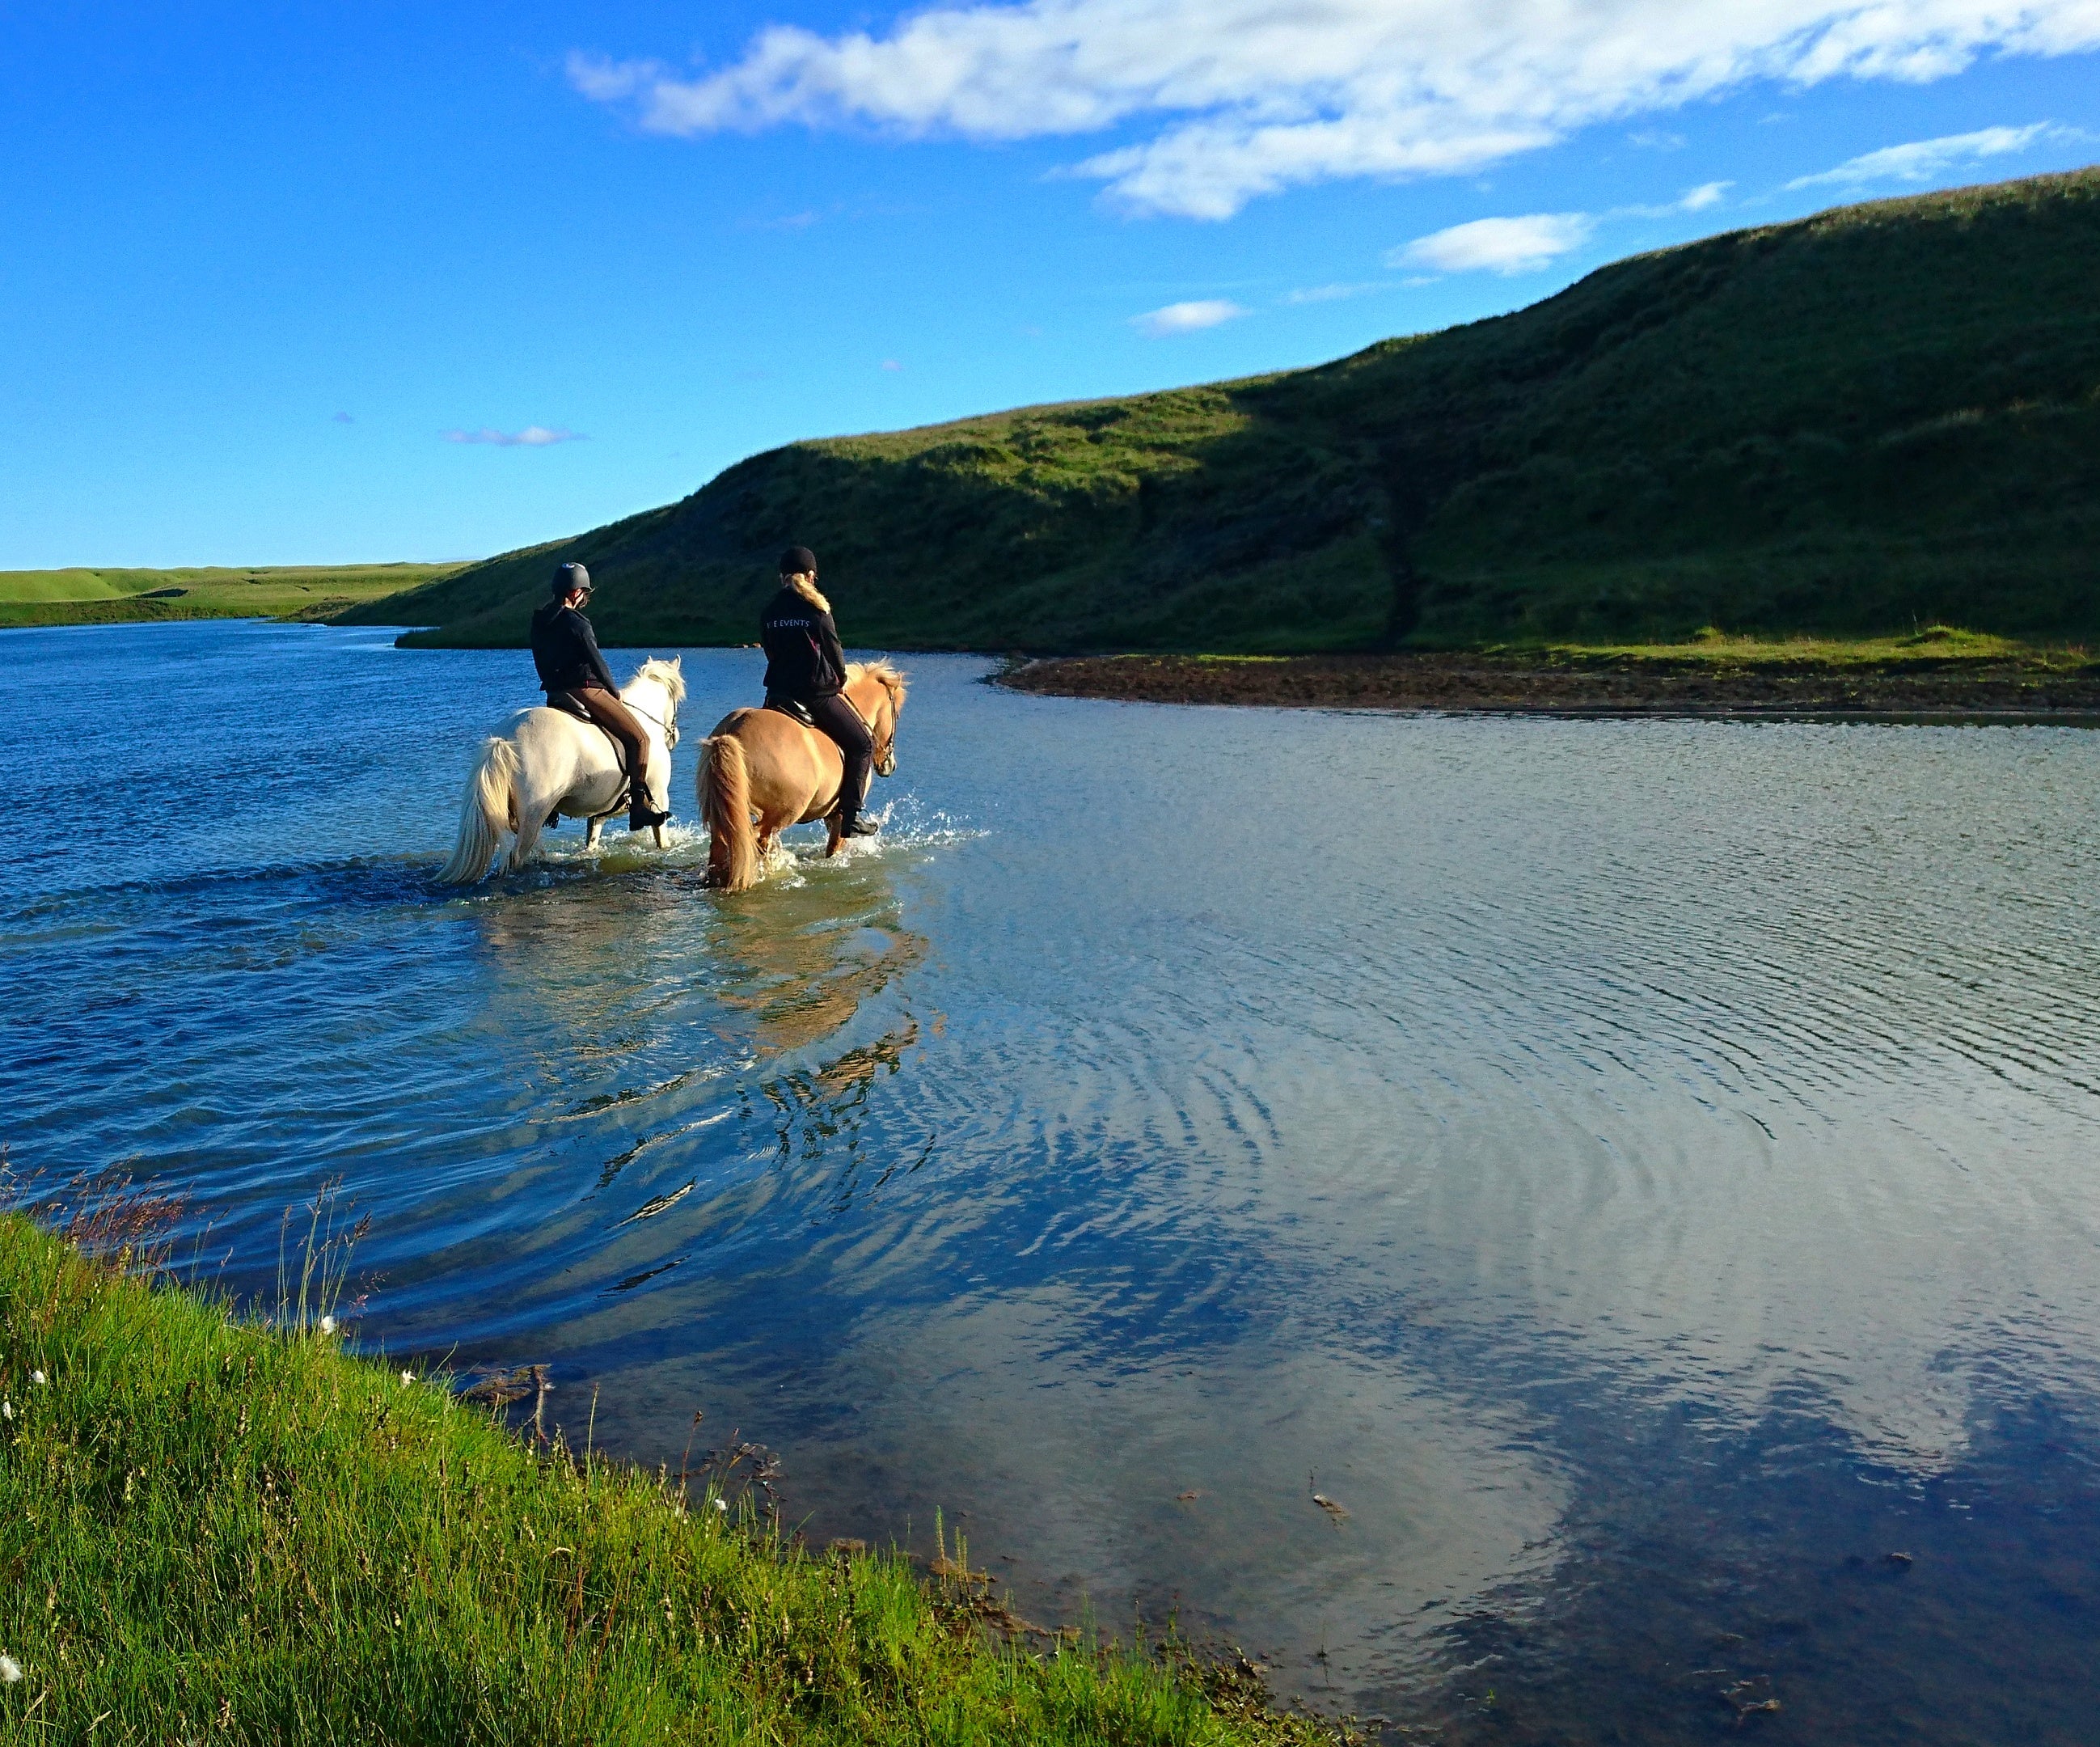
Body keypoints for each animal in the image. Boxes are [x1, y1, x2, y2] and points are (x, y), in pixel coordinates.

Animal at [437, 658, 686, 885]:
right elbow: (661, 838)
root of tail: (505, 738)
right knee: (515, 858)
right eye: (676, 702)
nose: (674, 736)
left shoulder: (599, 813)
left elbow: (591, 842)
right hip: (533, 817)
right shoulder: (659, 797)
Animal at [696, 660, 908, 892]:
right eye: (896, 715)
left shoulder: (830, 812)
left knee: (722, 844)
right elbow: (835, 848)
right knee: (752, 841)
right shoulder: (839, 815)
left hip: (726, 813)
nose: (890, 765)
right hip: (781, 813)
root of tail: (733, 732)